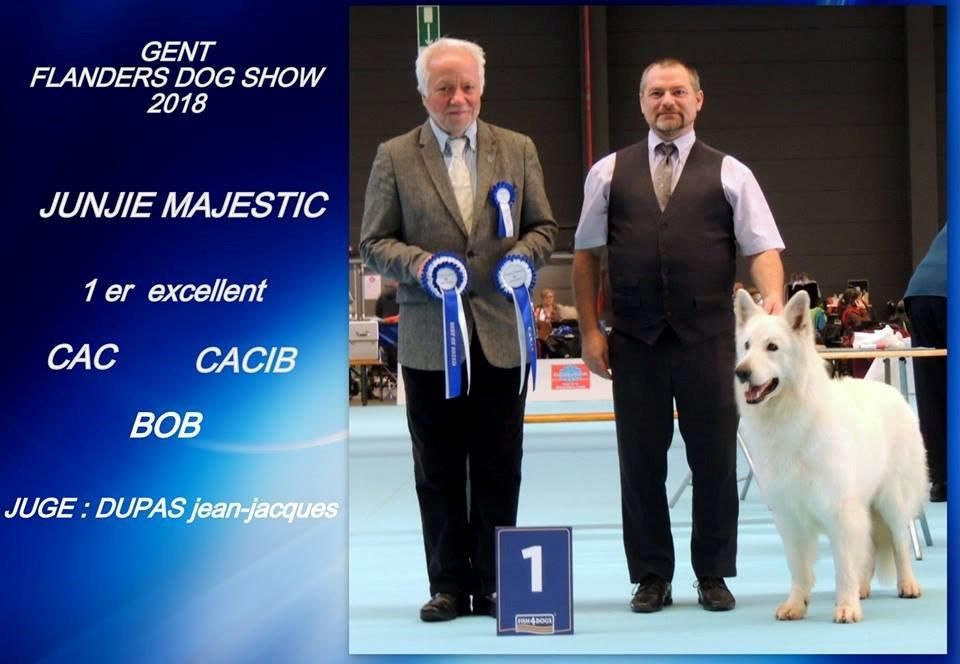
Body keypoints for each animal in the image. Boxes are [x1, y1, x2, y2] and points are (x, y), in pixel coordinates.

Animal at [736, 290, 924, 624]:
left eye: (772, 347)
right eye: (746, 346)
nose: (741, 372)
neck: (792, 416)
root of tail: (893, 393)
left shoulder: (840, 511)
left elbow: (844, 566)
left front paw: (846, 606)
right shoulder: (789, 515)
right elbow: (798, 567)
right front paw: (796, 604)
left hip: (891, 501)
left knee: (900, 542)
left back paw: (907, 585)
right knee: (871, 549)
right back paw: (863, 589)